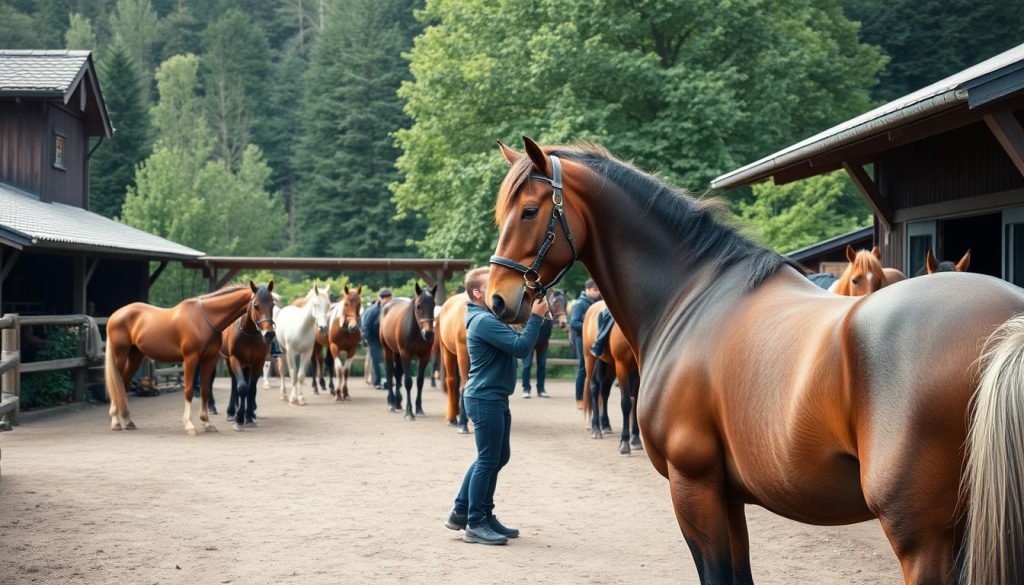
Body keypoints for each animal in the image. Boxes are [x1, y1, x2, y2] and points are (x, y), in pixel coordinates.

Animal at [103, 280, 262, 436]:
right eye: (256, 305)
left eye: (268, 303)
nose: (266, 333)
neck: (203, 319)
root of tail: (115, 315)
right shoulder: (190, 359)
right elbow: (189, 390)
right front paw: (189, 425)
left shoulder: (209, 360)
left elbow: (205, 390)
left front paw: (207, 423)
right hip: (120, 354)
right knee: (116, 385)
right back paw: (116, 422)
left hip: (135, 355)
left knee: (123, 384)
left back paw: (128, 421)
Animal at [220, 284, 276, 430]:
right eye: (256, 305)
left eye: (273, 305)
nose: (269, 334)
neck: (248, 333)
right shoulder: (235, 359)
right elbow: (242, 388)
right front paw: (239, 418)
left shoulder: (257, 362)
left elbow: (251, 389)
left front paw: (249, 417)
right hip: (229, 360)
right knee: (235, 383)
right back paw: (231, 412)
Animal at [380, 284, 436, 418]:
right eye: (419, 306)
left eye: (433, 305)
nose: (428, 333)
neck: (416, 333)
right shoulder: (406, 355)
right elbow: (408, 382)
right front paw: (409, 412)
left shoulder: (424, 356)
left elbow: (419, 381)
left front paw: (419, 408)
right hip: (387, 350)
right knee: (390, 373)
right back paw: (391, 402)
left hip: (397, 353)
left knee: (397, 374)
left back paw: (397, 402)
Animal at [585, 301, 638, 456]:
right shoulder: (622, 365)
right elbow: (626, 403)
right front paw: (625, 442)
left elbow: (635, 402)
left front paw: (635, 438)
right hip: (590, 359)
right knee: (594, 388)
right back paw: (596, 428)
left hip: (608, 365)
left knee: (604, 390)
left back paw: (605, 425)